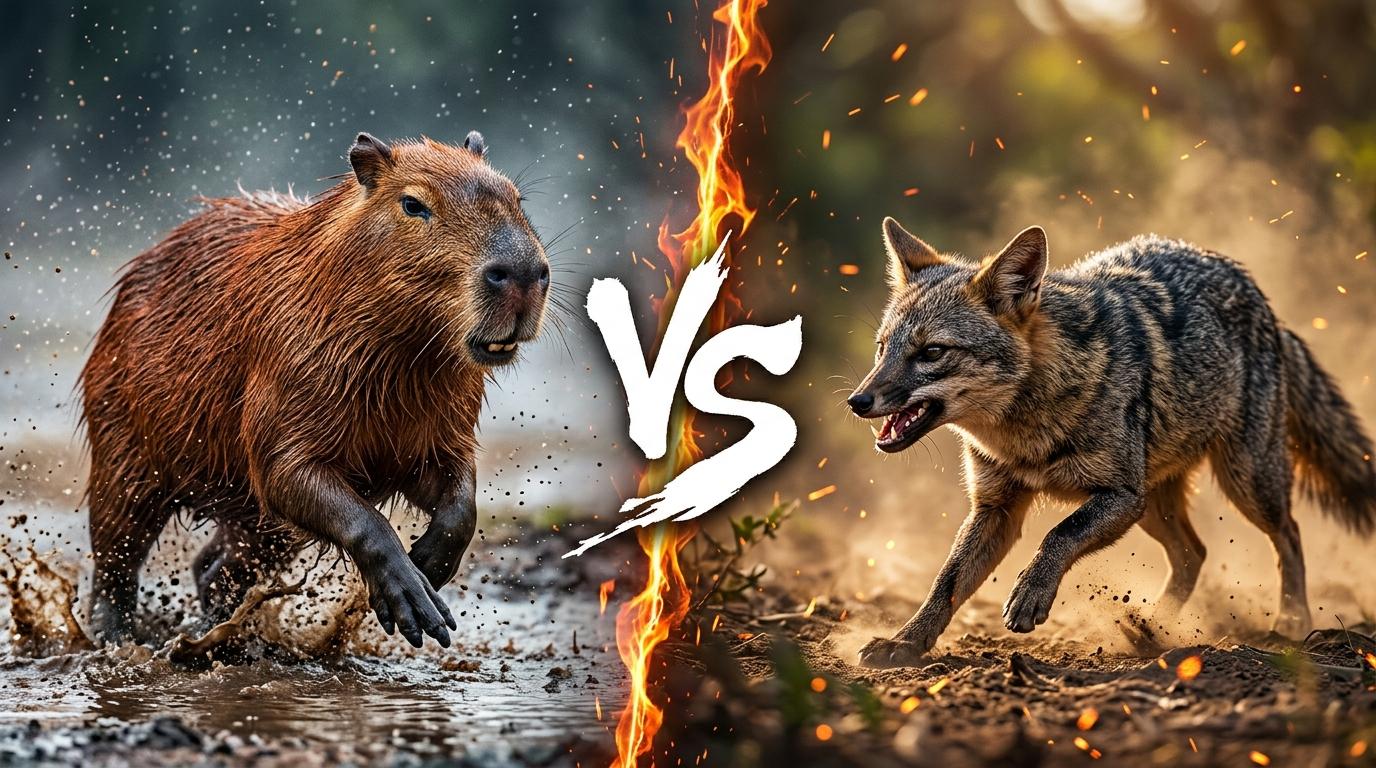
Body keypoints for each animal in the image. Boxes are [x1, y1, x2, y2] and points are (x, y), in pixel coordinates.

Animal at [847, 217, 1376, 668]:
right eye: (882, 348)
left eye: (932, 352)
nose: (857, 400)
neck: (1027, 430)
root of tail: (1266, 306)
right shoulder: (996, 507)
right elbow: (947, 582)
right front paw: (905, 643)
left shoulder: (1118, 495)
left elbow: (1058, 534)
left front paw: (1030, 593)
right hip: (1156, 506)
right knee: (1194, 554)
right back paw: (1152, 629)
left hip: (1242, 485)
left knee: (1289, 535)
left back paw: (1289, 622)